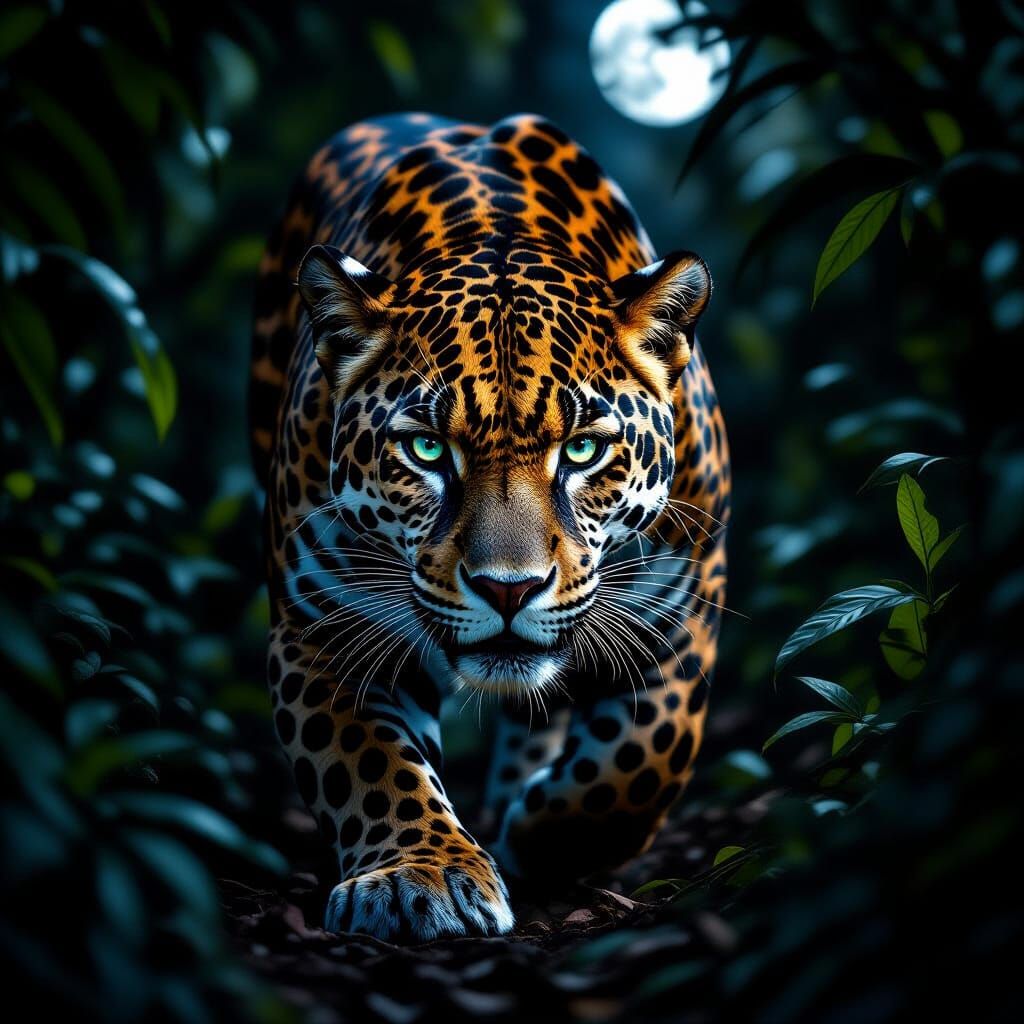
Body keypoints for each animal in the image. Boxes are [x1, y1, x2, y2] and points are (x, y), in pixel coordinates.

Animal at [250, 112, 730, 942]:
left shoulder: (684, 607)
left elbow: (643, 761)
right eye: (427, 449)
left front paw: (544, 839)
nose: (510, 590)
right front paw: (423, 876)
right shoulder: (325, 630)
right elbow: (370, 765)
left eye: (582, 449)